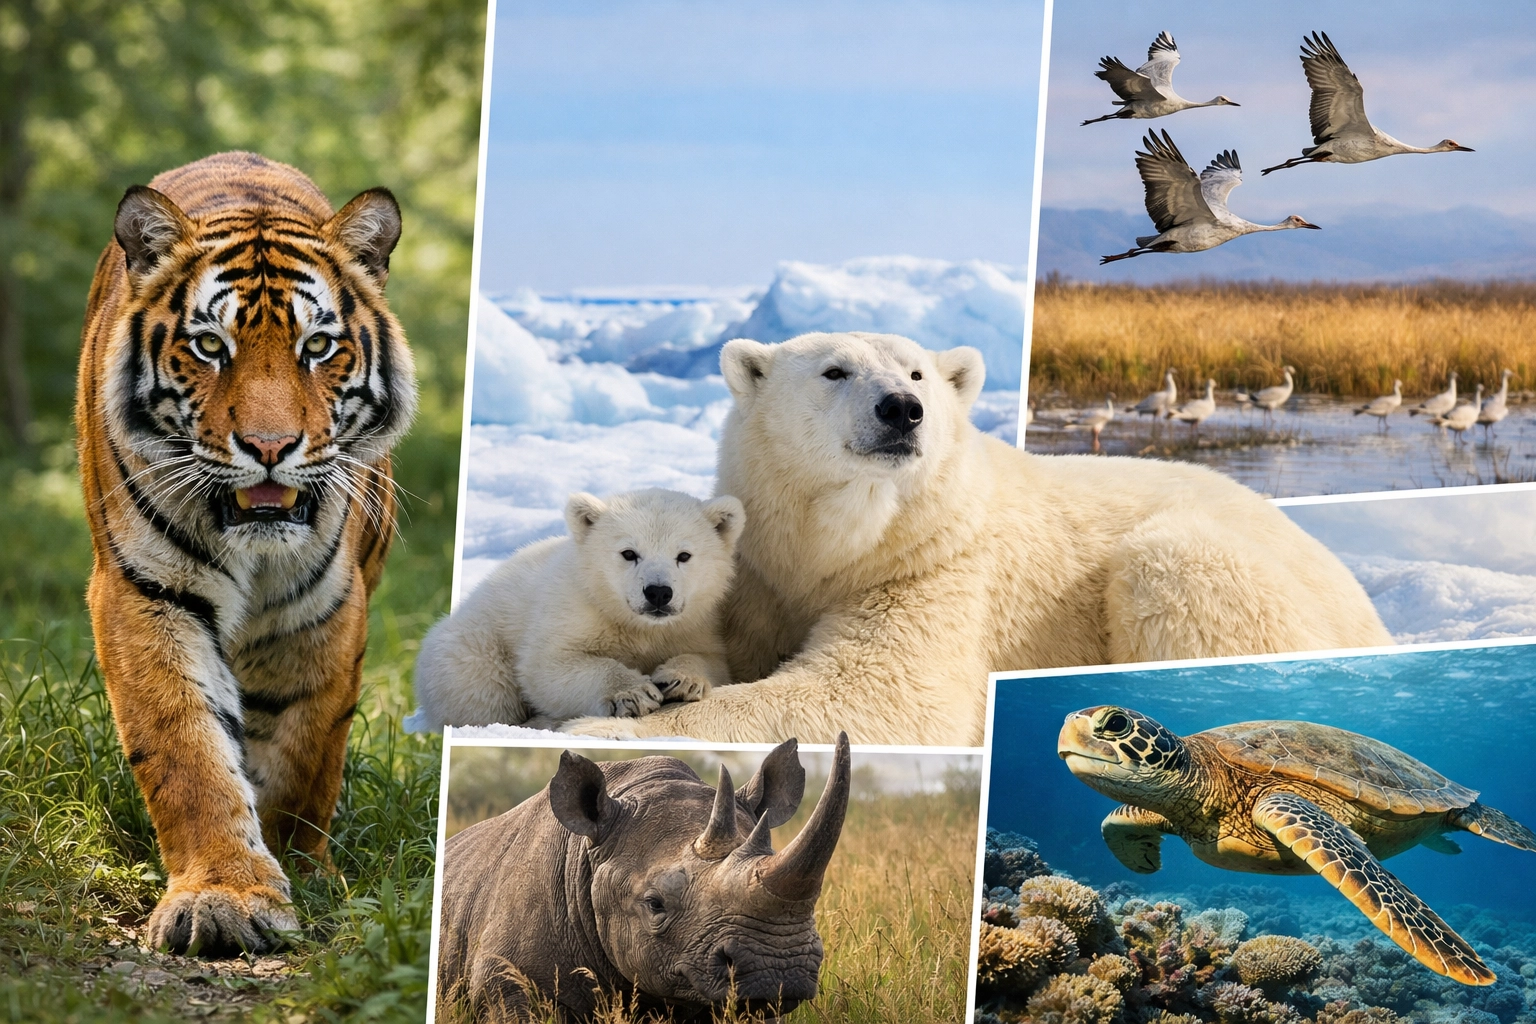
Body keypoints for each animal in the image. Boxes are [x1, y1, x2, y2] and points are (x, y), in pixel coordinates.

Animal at [75, 151, 418, 956]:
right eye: (210, 346)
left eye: (317, 347)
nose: (269, 448)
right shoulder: (145, 593)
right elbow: (187, 748)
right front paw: (227, 896)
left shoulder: (326, 608)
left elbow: (302, 750)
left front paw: (304, 867)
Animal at [407, 488, 744, 730]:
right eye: (629, 553)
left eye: (684, 555)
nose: (658, 593)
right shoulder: (571, 610)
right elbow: (548, 666)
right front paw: (635, 693)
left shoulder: (693, 624)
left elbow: (711, 660)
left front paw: (678, 680)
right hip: (472, 646)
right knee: (483, 690)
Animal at [561, 331, 1392, 746]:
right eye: (834, 371)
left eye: (918, 373)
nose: (902, 409)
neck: (843, 545)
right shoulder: (759, 570)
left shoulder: (935, 568)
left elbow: (880, 694)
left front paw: (595, 727)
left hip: (1221, 568)